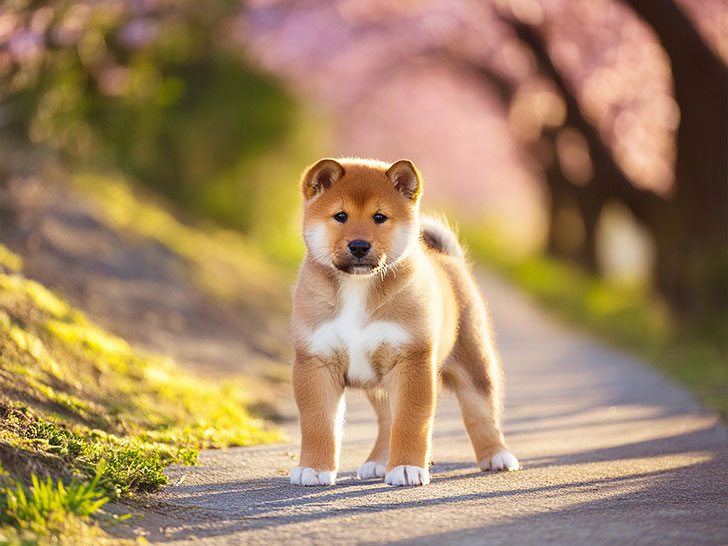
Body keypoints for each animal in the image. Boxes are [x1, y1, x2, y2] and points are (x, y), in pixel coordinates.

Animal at [288, 156, 516, 484]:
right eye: (340, 216)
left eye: (380, 217)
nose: (359, 246)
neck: (358, 289)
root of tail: (449, 260)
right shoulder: (315, 361)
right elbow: (318, 423)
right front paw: (314, 469)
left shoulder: (412, 359)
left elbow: (410, 421)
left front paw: (407, 467)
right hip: (381, 382)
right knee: (387, 420)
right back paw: (379, 461)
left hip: (475, 362)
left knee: (481, 412)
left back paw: (496, 455)